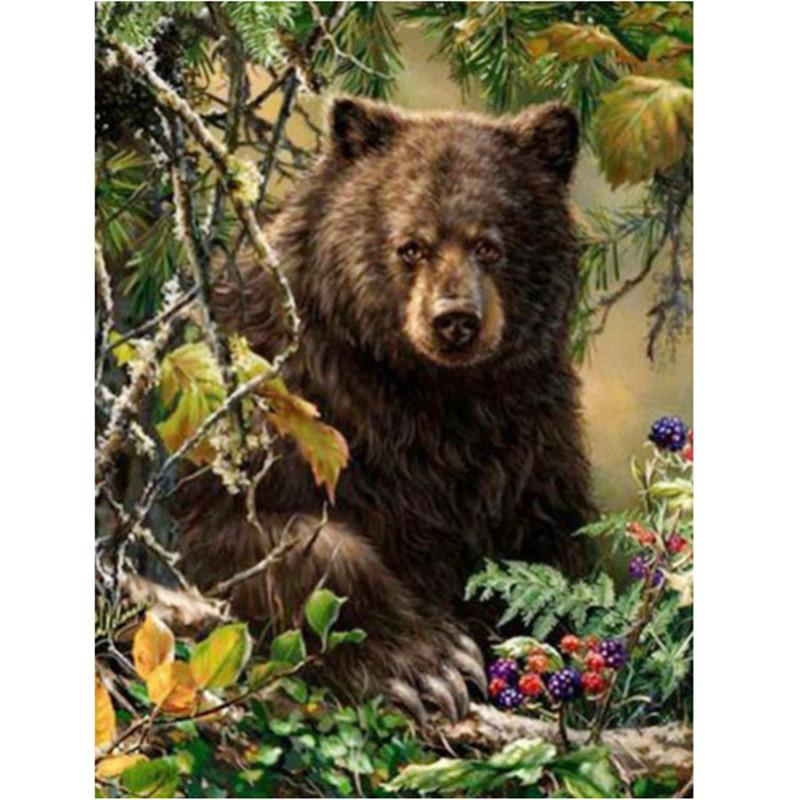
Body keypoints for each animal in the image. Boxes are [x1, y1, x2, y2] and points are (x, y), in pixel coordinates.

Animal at [175, 97, 594, 723]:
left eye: (489, 245)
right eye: (411, 246)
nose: (454, 320)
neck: (432, 396)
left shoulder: (529, 440)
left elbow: (550, 551)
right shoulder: (282, 412)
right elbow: (258, 542)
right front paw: (431, 666)